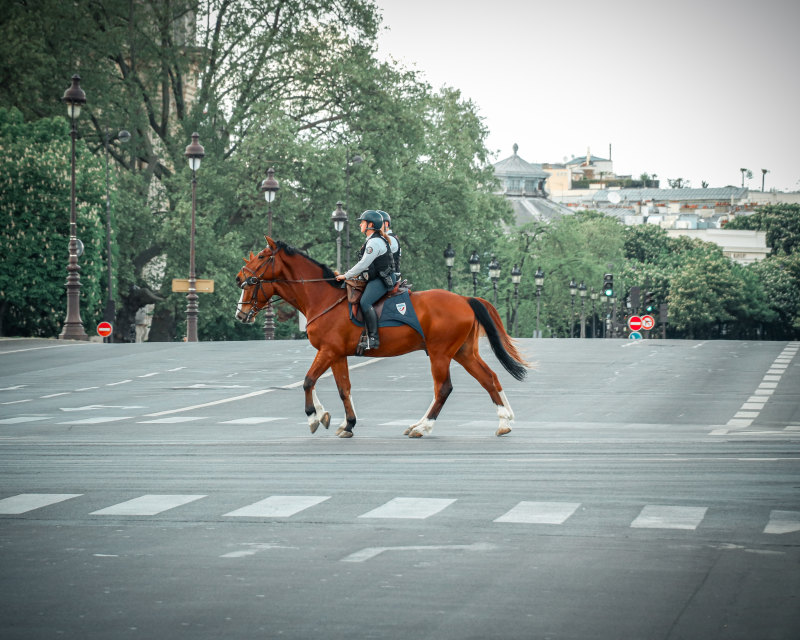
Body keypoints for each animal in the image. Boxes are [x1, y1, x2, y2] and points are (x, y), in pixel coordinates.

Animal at [233, 238, 532, 438]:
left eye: (262, 256)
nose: (240, 279)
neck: (324, 297)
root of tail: (465, 299)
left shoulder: (327, 351)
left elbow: (308, 381)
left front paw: (314, 417)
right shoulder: (337, 354)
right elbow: (343, 389)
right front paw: (347, 423)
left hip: (440, 354)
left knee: (443, 389)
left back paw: (422, 426)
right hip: (463, 352)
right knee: (489, 378)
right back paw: (504, 421)